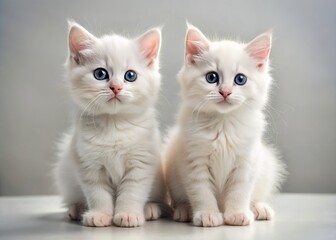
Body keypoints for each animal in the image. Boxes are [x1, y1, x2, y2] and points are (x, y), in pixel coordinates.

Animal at [54, 21, 165, 228]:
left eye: (130, 75)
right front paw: (99, 215)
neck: (114, 125)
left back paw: (150, 208)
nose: (116, 87)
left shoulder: (141, 163)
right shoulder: (88, 165)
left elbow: (131, 192)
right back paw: (76, 209)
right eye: (100, 74)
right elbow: (98, 194)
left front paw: (128, 214)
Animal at [164, 24, 284, 227]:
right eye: (212, 77)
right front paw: (208, 214)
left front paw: (237, 214)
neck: (223, 124)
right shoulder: (194, 162)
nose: (225, 92)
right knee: (180, 198)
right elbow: (202, 192)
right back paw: (184, 210)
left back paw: (259, 208)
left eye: (240, 79)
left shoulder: (246, 162)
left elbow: (239, 192)